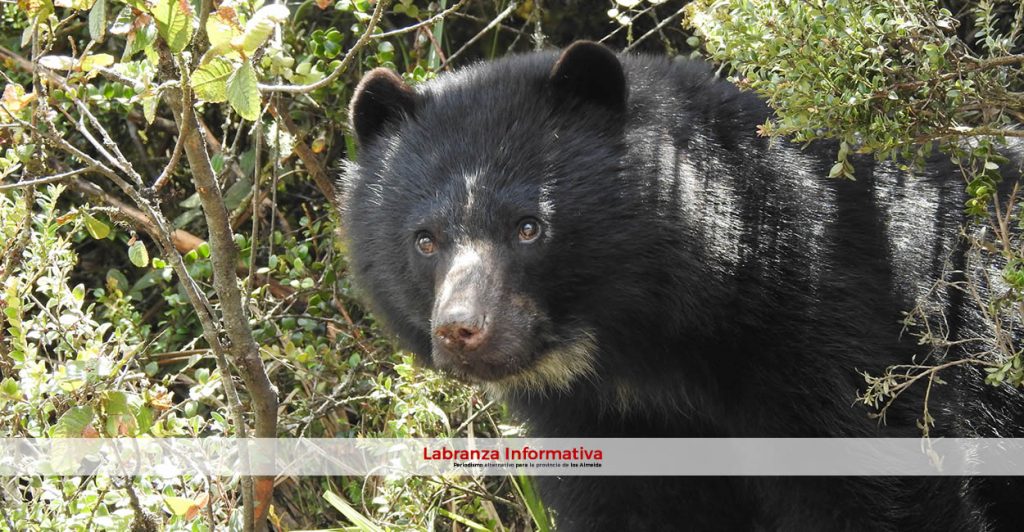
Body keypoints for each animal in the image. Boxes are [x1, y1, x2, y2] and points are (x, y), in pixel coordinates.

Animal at [340, 41, 1024, 530]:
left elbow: (877, 487)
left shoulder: (849, 336)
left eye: (529, 227)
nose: (461, 330)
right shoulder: (601, 421)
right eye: (425, 240)